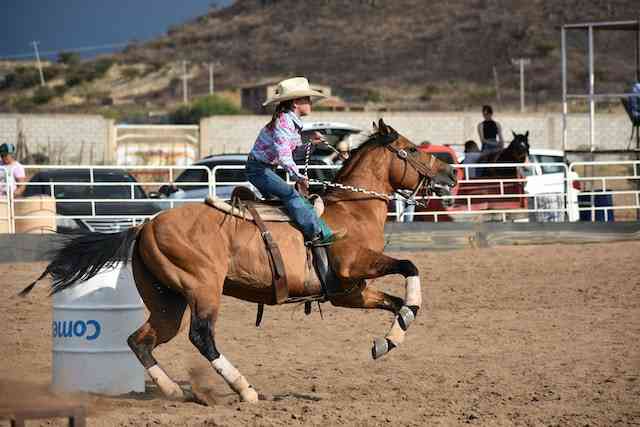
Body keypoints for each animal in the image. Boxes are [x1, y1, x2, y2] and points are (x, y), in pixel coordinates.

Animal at [21, 119, 456, 404]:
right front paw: (400, 324)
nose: (451, 174)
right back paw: (244, 389)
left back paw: (175, 390)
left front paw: (388, 340)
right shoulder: (355, 268)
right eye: (412, 149)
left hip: (166, 301)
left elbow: (396, 303)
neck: (351, 210)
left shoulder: (349, 291)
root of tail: (144, 226)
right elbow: (410, 267)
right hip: (202, 289)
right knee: (201, 336)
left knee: (141, 340)